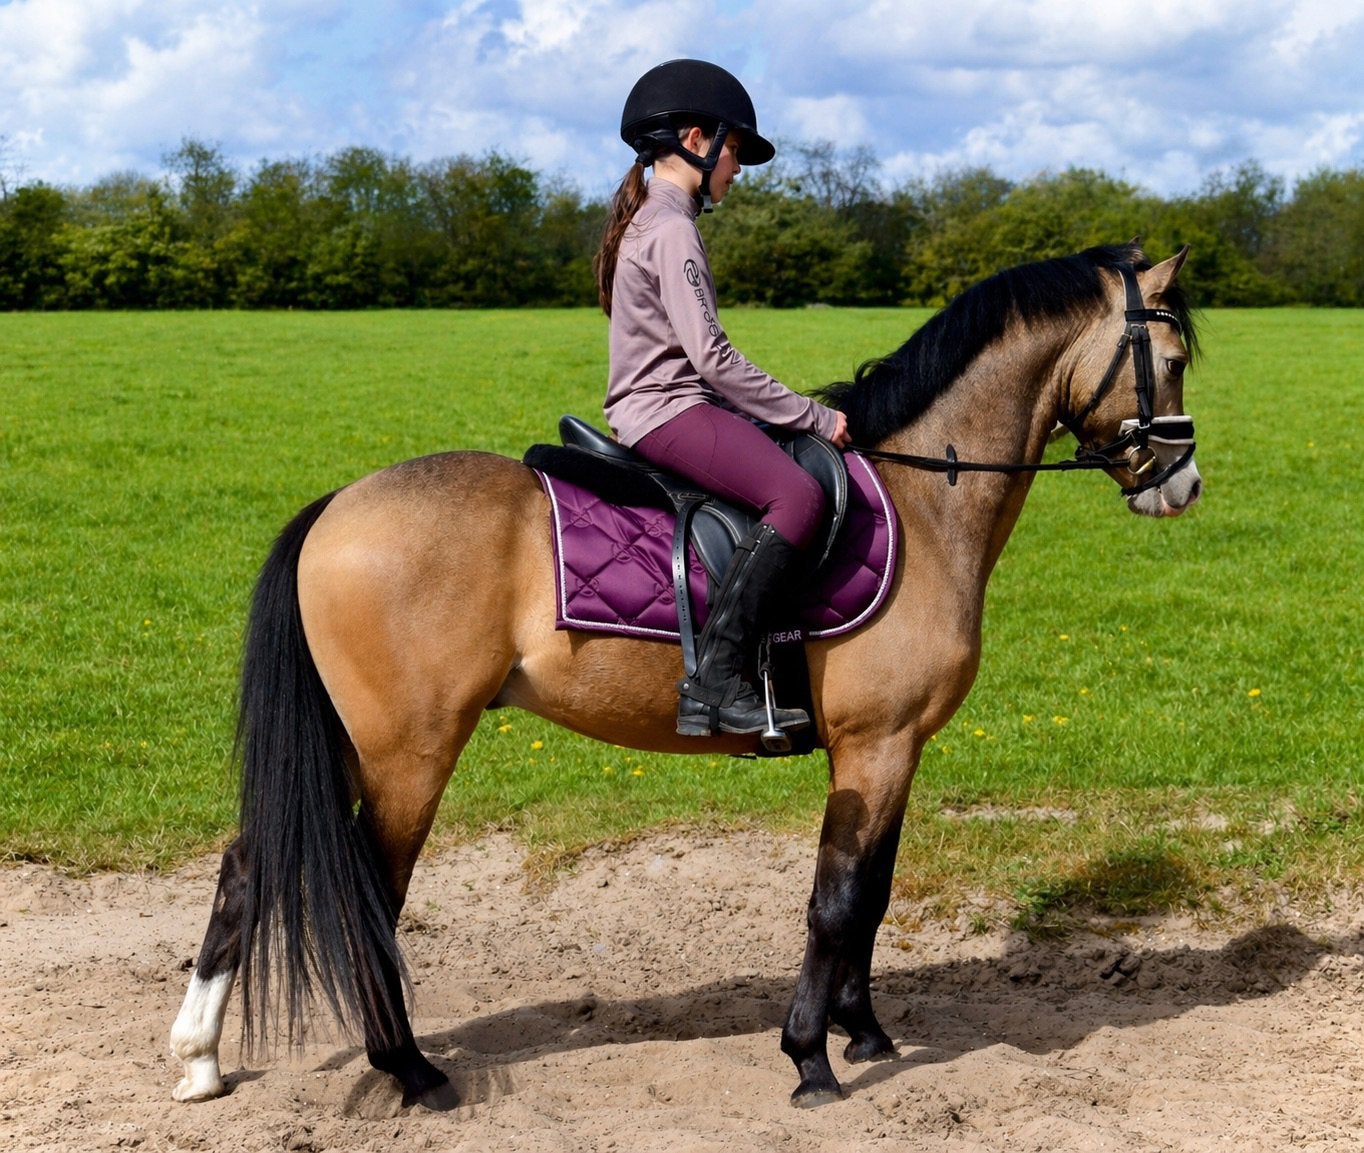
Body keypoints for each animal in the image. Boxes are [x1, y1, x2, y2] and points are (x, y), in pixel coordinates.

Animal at [168, 241, 1201, 1110]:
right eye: (1175, 357)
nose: (1182, 486)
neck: (923, 492)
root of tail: (336, 505)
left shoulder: (896, 748)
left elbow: (872, 894)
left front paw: (864, 1032)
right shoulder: (875, 745)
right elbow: (835, 900)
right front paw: (810, 1059)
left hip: (357, 744)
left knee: (246, 867)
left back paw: (201, 1059)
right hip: (408, 756)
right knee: (370, 898)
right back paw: (411, 1070)